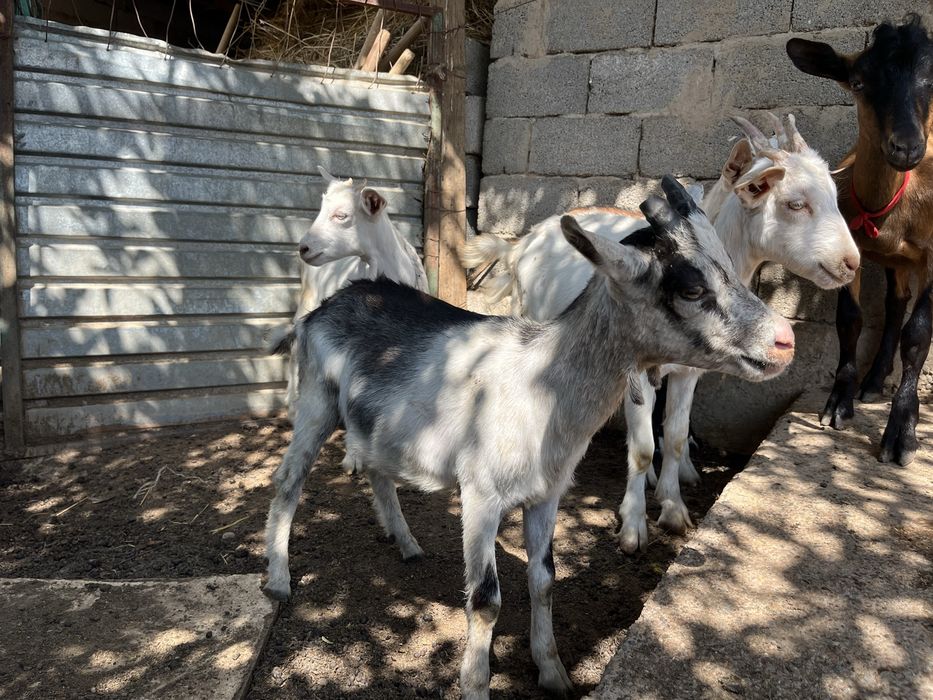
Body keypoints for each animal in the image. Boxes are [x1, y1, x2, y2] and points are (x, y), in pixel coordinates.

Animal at [264, 177, 796, 699]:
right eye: (690, 287)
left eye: (729, 267)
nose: (785, 341)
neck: (542, 382)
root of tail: (322, 310)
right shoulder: (481, 495)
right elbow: (485, 600)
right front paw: (476, 685)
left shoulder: (547, 493)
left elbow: (543, 579)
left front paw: (553, 672)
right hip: (316, 401)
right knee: (288, 482)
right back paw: (278, 580)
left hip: (377, 421)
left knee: (376, 467)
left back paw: (407, 542)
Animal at [460, 114, 859, 552]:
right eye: (795, 203)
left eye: (835, 197)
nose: (851, 263)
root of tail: (522, 242)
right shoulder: (635, 367)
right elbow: (642, 447)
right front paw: (634, 526)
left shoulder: (688, 372)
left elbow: (677, 435)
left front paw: (673, 508)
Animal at [787, 15, 933, 465]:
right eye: (858, 82)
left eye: (932, 79)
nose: (906, 147)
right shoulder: (849, 245)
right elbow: (850, 320)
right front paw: (839, 402)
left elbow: (918, 334)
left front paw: (902, 433)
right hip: (896, 261)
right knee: (895, 302)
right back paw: (872, 380)